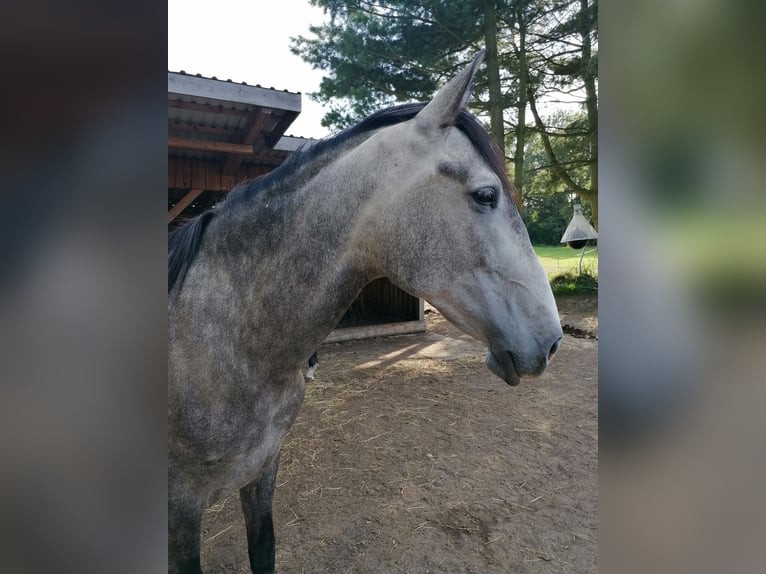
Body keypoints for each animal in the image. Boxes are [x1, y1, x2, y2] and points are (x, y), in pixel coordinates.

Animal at [170, 51, 564, 572]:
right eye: (486, 195)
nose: (553, 341)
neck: (226, 342)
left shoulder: (263, 471)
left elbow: (264, 549)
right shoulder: (180, 507)